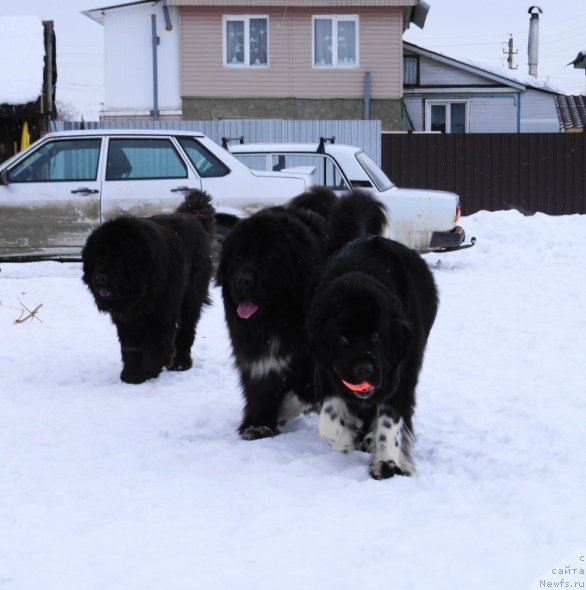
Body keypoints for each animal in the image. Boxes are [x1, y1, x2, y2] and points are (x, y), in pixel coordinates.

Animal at [81, 190, 214, 384]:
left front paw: (149, 371)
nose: (99, 278)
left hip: (191, 299)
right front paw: (131, 373)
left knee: (186, 329)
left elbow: (154, 345)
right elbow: (130, 347)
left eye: (117, 259)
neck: (141, 291)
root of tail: (193, 216)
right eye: (97, 257)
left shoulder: (160, 316)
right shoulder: (127, 319)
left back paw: (180, 363)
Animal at [308, 217, 436, 480]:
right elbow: (329, 417)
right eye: (342, 339)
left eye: (377, 336)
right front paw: (345, 439)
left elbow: (390, 418)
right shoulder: (327, 369)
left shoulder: (399, 372)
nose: (363, 369)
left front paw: (387, 462)